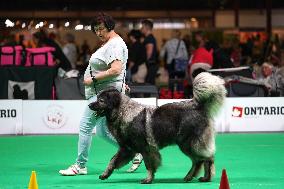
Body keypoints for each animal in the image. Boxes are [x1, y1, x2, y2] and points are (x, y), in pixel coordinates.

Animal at [89, 72, 226, 183]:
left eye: (101, 100)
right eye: (98, 98)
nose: (90, 105)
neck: (122, 112)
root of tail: (198, 106)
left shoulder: (146, 148)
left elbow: (149, 165)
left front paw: (148, 179)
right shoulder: (127, 149)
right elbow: (112, 161)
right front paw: (105, 174)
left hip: (189, 144)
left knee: (207, 159)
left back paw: (206, 177)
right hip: (186, 145)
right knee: (198, 161)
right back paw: (190, 177)